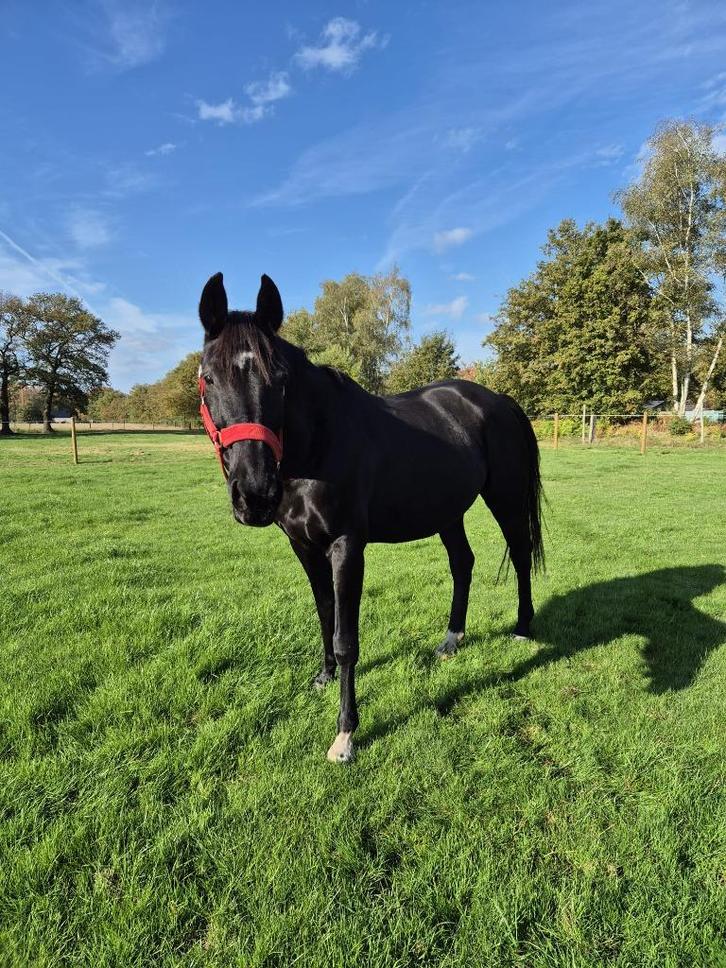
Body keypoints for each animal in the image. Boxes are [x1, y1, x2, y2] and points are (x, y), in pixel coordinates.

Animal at [197, 272, 544, 764]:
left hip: (506, 499)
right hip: (447, 511)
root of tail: (496, 399)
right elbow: (325, 614)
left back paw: (521, 628)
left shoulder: (347, 547)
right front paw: (323, 678)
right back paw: (451, 639)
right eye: (208, 378)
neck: (319, 445)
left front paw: (345, 734)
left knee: (519, 553)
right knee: (463, 563)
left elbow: (347, 640)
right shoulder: (304, 546)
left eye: (280, 379)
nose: (255, 495)